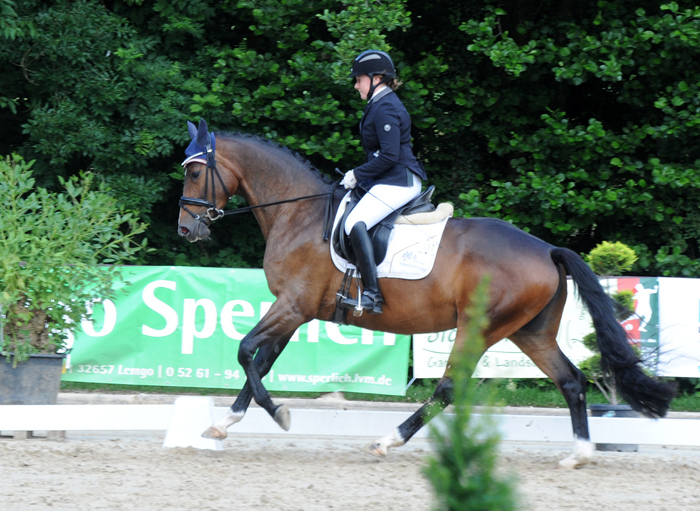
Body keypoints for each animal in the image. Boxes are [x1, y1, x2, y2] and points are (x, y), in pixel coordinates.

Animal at [175, 119, 672, 468]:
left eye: (196, 171)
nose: (186, 230)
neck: (297, 214)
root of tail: (547, 249)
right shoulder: (297, 310)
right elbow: (260, 362)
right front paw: (223, 423)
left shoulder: (291, 306)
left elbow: (245, 351)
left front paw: (278, 414)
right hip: (531, 332)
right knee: (571, 381)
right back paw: (580, 454)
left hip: (480, 327)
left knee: (449, 387)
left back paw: (387, 441)